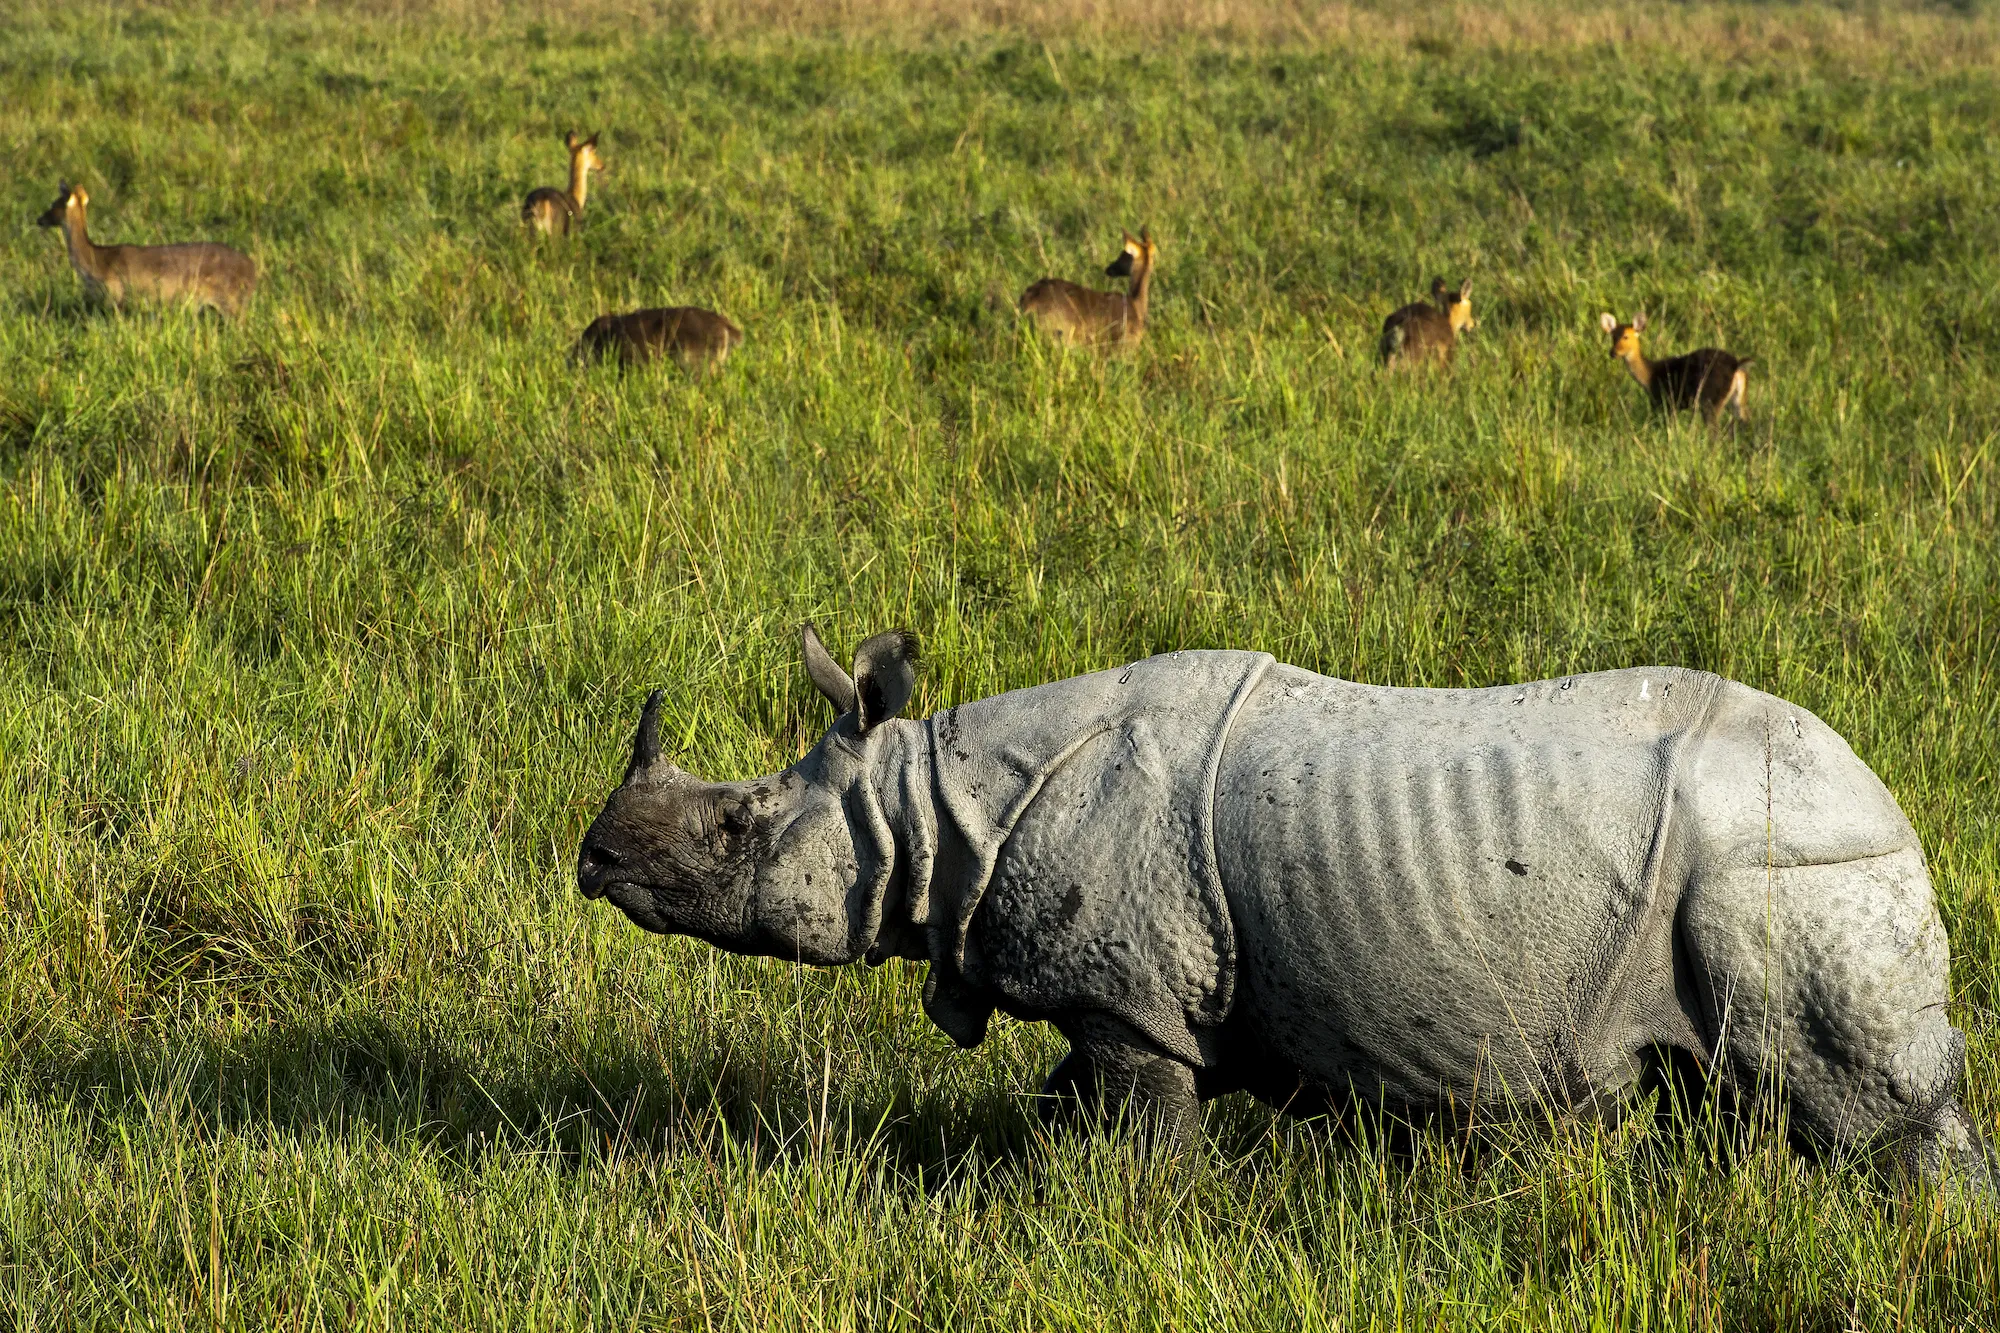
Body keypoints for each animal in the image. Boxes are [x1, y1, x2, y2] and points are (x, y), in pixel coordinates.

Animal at [576, 627, 1992, 1184]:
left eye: (736, 827)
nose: (592, 860)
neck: (930, 802)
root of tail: (1891, 806)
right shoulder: (1123, 997)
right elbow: (1064, 1108)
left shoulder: (1127, 997)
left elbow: (1137, 1143)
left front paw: (1120, 1221)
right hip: (1759, 868)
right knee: (1739, 1102)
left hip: (1785, 870)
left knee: (1870, 1115)